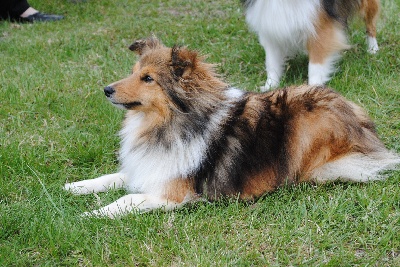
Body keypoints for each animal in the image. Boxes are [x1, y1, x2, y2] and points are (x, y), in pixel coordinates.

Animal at [64, 36, 398, 219]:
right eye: (134, 72)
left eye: (148, 79)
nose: (106, 90)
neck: (170, 122)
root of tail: (364, 127)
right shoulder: (151, 168)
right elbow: (113, 178)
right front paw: (75, 187)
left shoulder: (172, 194)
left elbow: (126, 199)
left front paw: (90, 214)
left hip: (305, 125)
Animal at [241, 0, 382, 91]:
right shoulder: (270, 28)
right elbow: (272, 63)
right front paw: (270, 86)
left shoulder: (320, 27)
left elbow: (315, 66)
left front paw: (313, 89)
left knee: (370, 24)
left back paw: (372, 49)